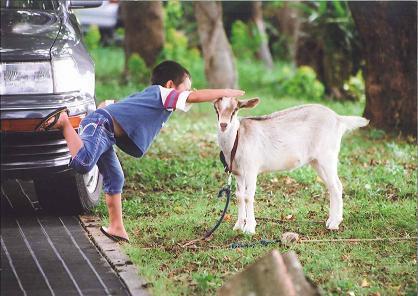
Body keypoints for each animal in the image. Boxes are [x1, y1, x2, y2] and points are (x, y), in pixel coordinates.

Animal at [214, 98, 368, 235]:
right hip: (317, 161)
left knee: (336, 186)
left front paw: (249, 229)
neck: (237, 139)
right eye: (216, 109)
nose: (223, 125)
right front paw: (238, 226)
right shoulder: (238, 173)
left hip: (327, 156)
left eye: (235, 109)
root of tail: (338, 118)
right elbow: (239, 196)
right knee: (333, 185)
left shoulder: (251, 169)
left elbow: (248, 196)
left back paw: (334, 224)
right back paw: (331, 220)